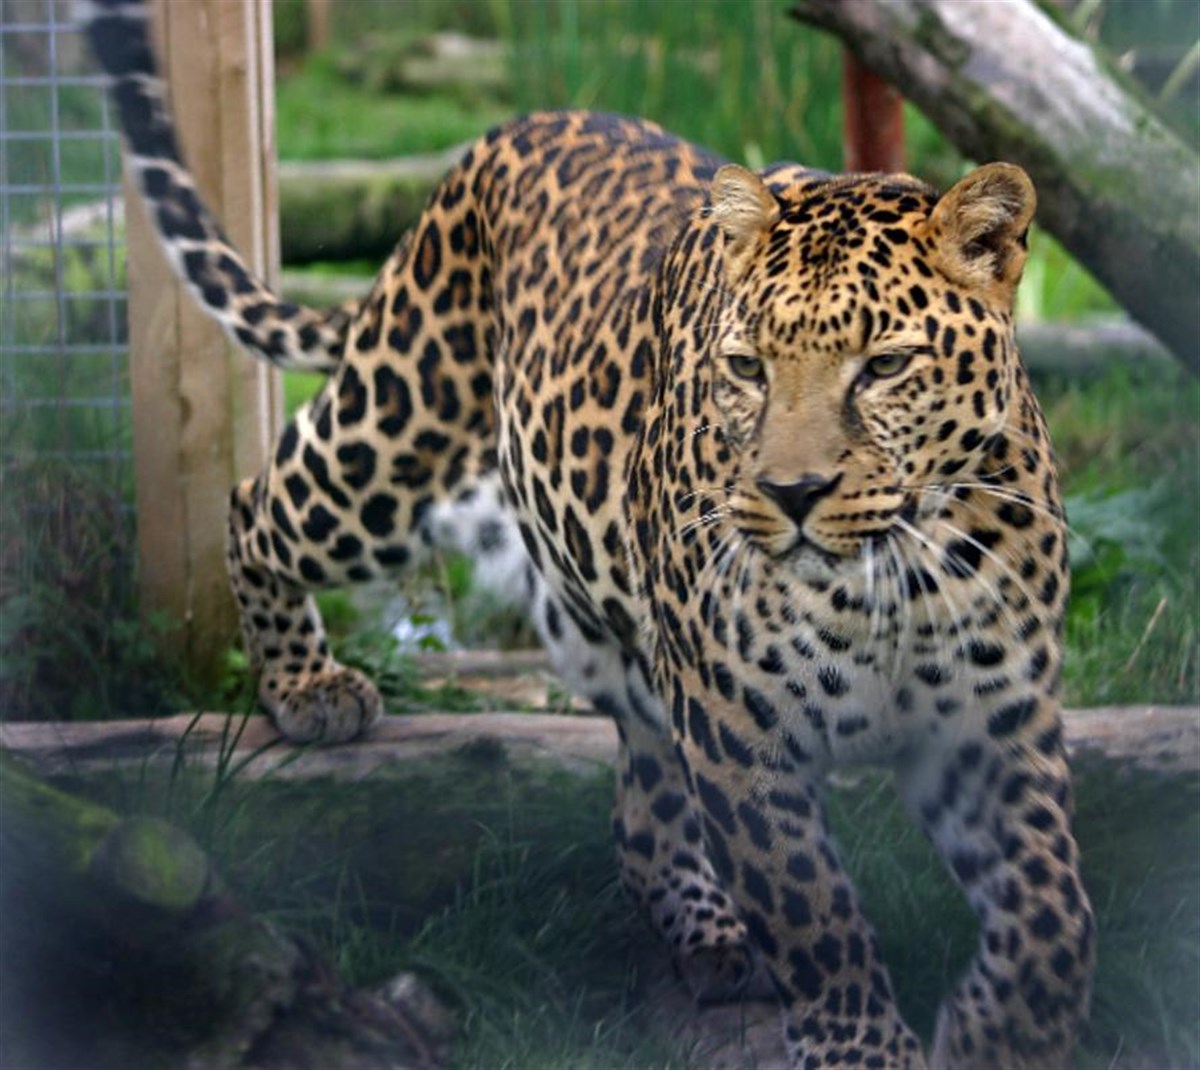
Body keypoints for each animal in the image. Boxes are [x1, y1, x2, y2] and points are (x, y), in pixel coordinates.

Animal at [86, 2, 1094, 1066]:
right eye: (746, 367)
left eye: (887, 365)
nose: (792, 493)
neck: (890, 577)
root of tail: (501, 136)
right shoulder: (738, 726)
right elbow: (813, 911)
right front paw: (862, 1046)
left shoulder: (997, 720)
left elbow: (1054, 907)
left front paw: (1006, 1031)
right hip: (396, 436)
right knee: (256, 504)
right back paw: (307, 687)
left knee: (641, 809)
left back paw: (708, 932)